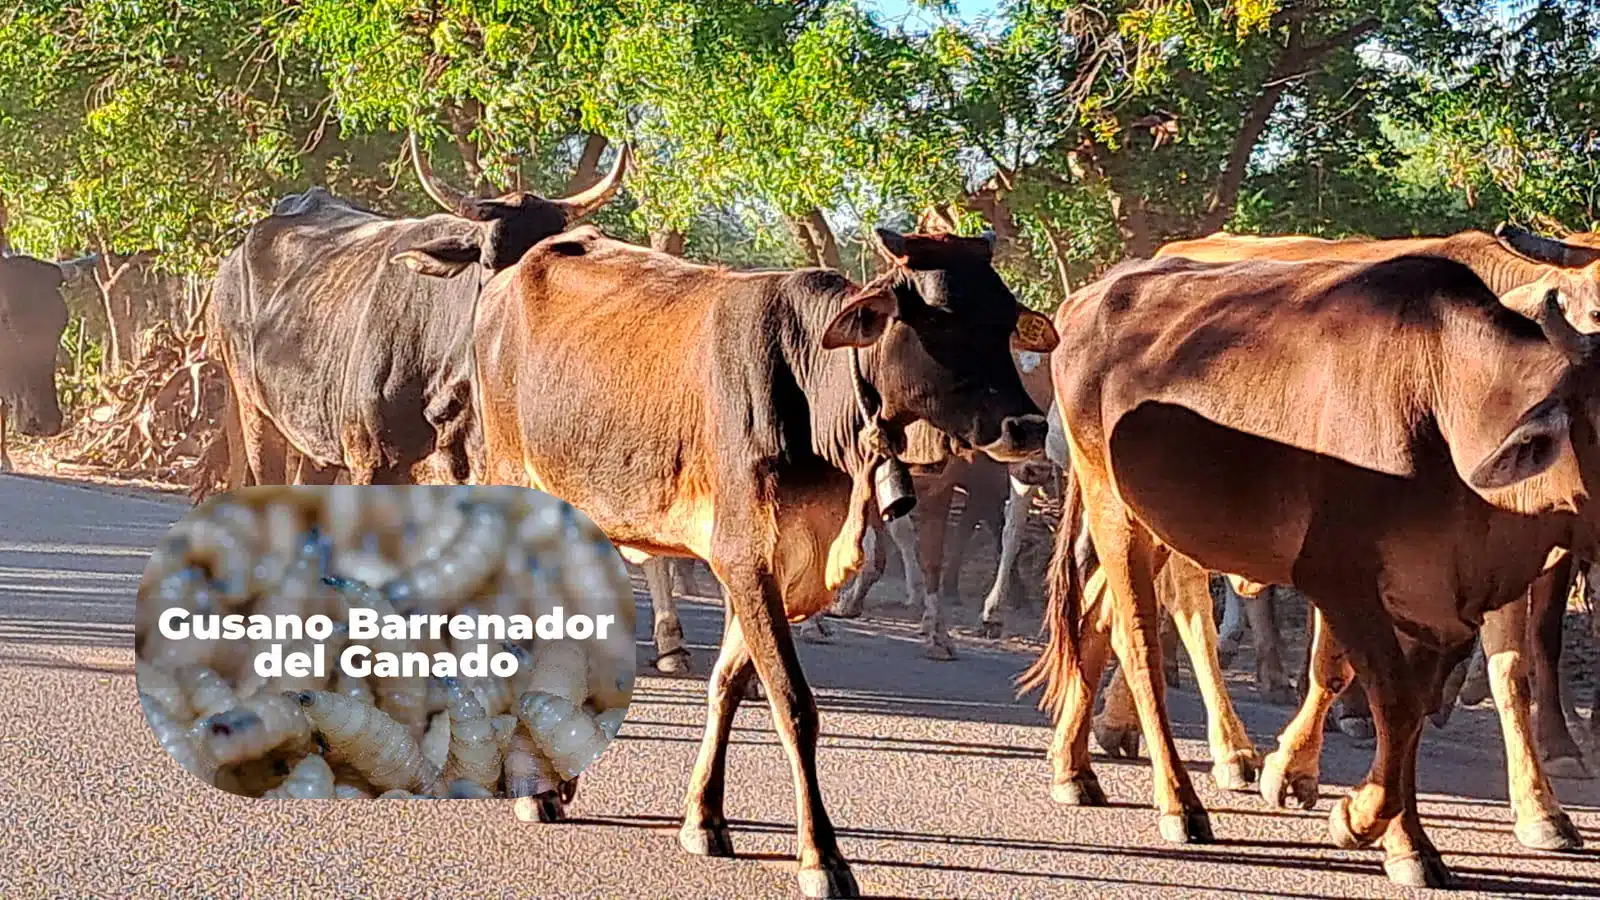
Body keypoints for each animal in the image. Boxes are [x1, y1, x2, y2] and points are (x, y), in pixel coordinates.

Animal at [409, 219, 1062, 896]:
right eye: (940, 319)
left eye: (1006, 320)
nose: (1028, 428)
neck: (814, 394)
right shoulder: (746, 557)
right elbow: (794, 705)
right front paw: (822, 856)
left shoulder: (776, 568)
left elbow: (728, 684)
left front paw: (705, 817)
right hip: (518, 487)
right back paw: (538, 789)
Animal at [1030, 249, 1593, 883]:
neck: (1447, 401)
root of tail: (1092, 296)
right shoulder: (1340, 579)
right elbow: (1386, 699)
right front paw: (1354, 816)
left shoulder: (1443, 605)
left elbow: (1420, 710)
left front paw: (1411, 842)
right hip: (1114, 510)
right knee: (1141, 639)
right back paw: (1181, 800)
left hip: (1150, 527)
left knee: (1096, 619)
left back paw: (1074, 767)